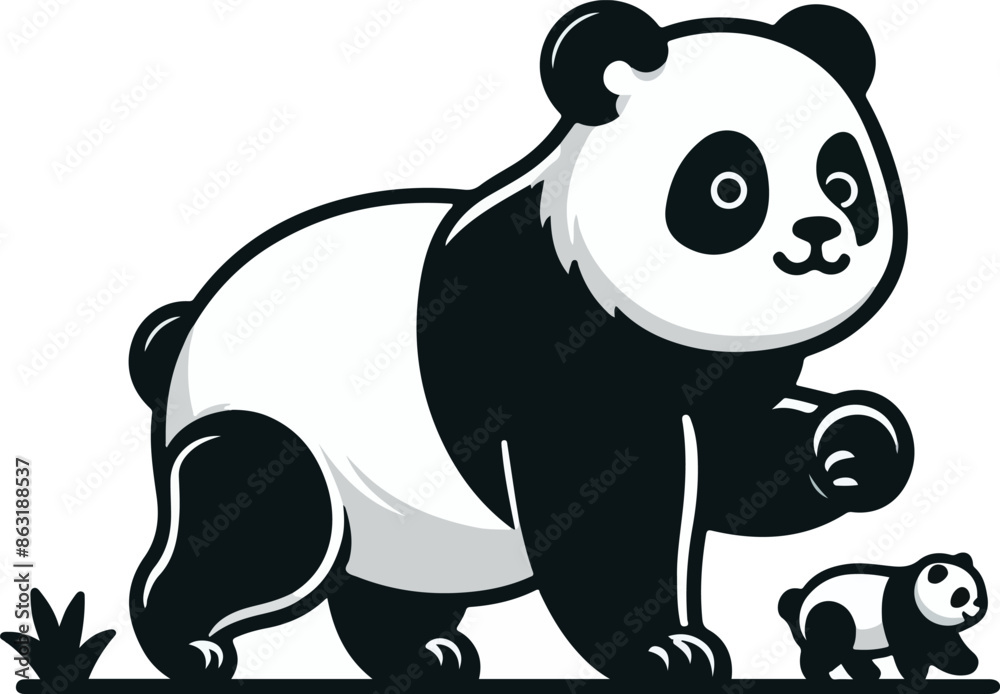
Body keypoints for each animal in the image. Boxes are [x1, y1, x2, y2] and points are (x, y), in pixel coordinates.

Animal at [127, 1, 915, 685]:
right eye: (727, 186)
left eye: (845, 181)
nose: (820, 237)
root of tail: (183, 333)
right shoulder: (544, 343)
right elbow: (607, 502)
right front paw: (666, 652)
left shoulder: (718, 370)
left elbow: (734, 463)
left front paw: (853, 447)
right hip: (281, 431)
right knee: (268, 504)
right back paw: (190, 645)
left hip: (403, 519)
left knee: (394, 577)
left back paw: (425, 657)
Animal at [779, 553, 988, 680]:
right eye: (960, 595)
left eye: (979, 593)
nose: (976, 609)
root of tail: (800, 597)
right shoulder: (902, 609)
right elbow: (910, 647)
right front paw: (916, 674)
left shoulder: (931, 625)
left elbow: (945, 642)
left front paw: (967, 664)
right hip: (830, 614)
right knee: (828, 646)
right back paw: (821, 677)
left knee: (851, 653)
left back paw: (868, 674)